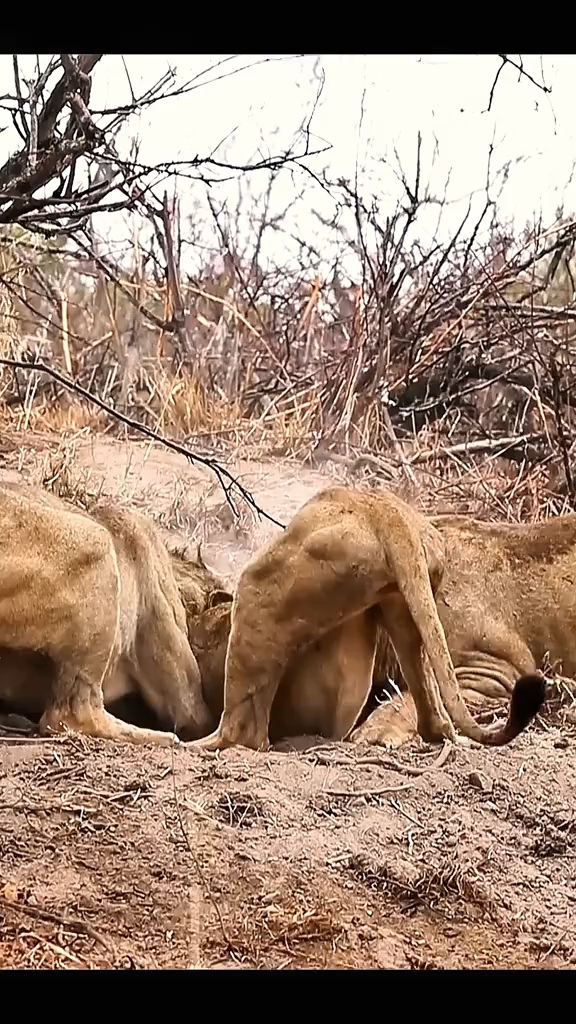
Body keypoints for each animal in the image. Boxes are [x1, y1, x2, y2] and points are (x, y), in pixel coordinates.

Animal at [190, 483, 545, 757]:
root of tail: (390, 518)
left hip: (264, 585)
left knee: (246, 733)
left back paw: (193, 744)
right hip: (398, 604)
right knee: (432, 713)